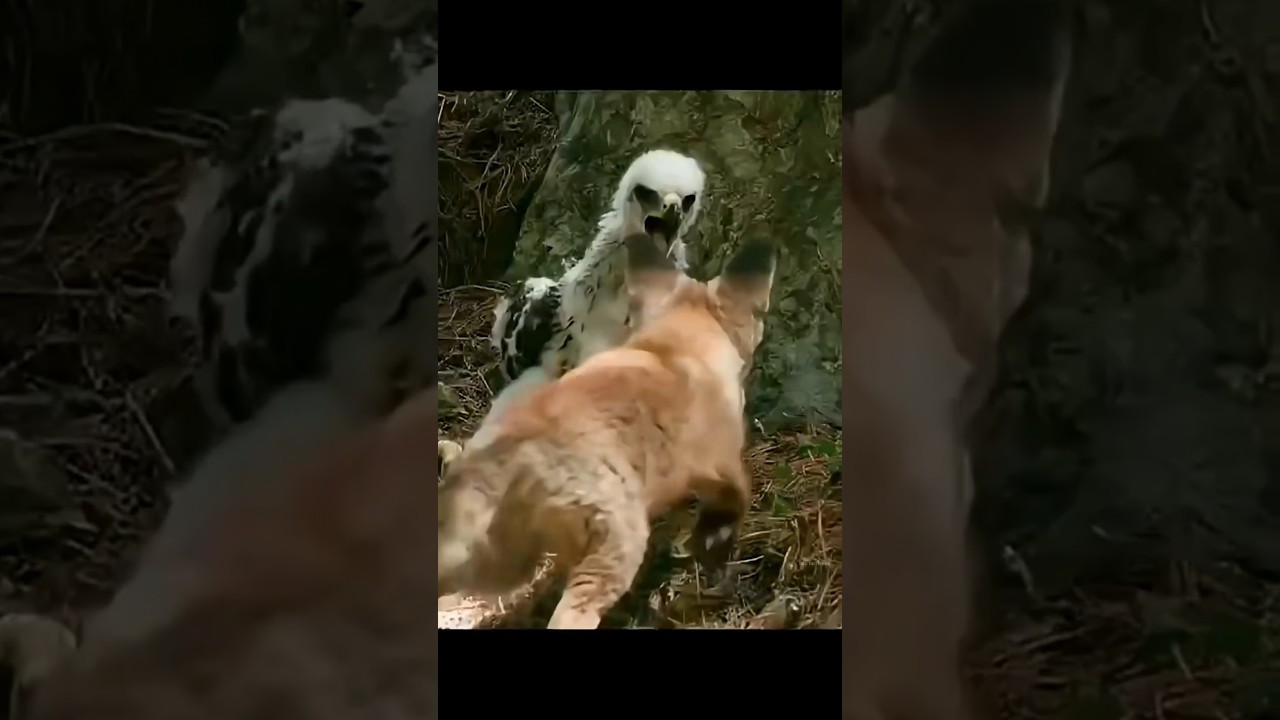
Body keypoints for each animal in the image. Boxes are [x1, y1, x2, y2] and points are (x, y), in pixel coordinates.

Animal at [437, 233, 776, 630]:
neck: (675, 347)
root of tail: (514, 448)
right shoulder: (721, 463)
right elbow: (736, 498)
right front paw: (714, 550)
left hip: (494, 563)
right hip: (614, 549)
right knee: (572, 615)